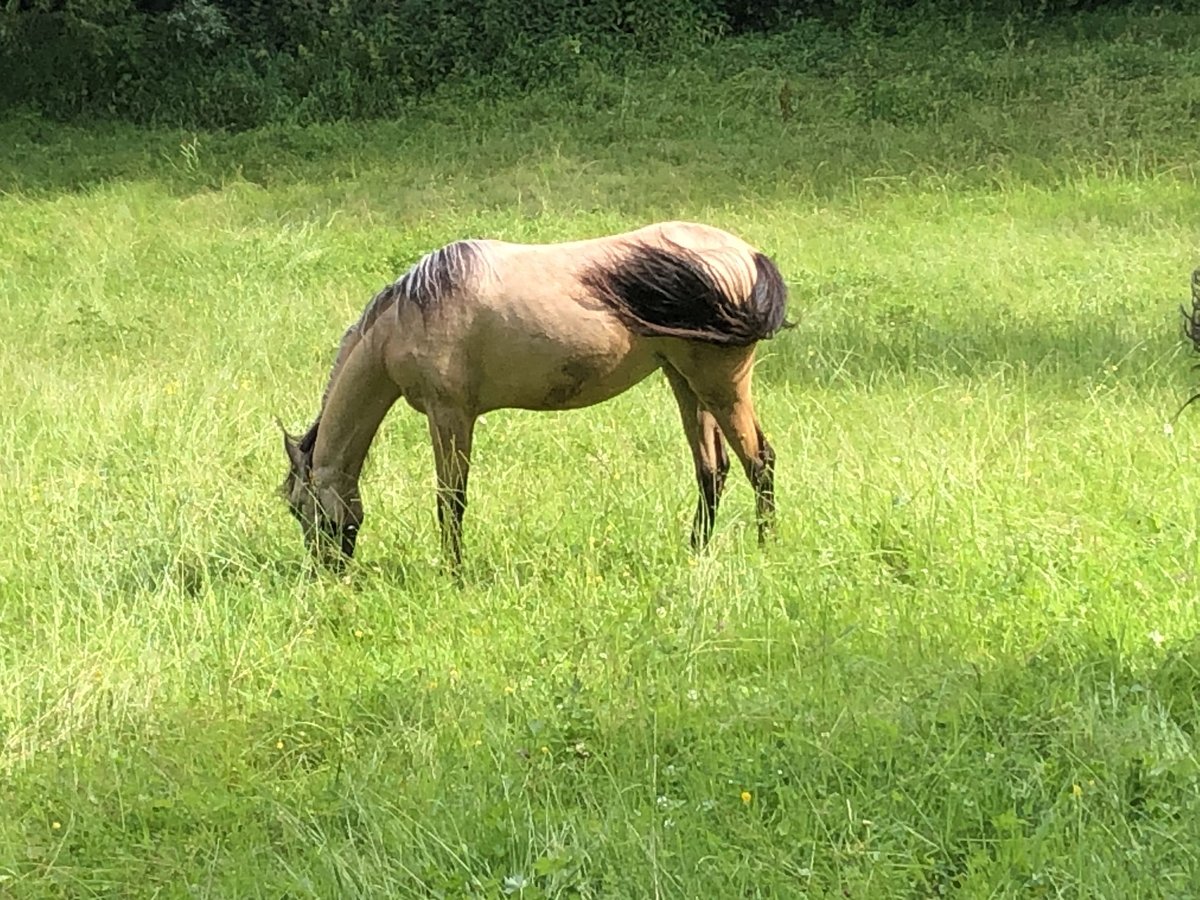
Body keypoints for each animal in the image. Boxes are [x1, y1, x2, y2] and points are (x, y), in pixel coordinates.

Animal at [276, 220, 792, 571]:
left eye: (299, 507)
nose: (326, 571)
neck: (412, 312)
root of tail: (749, 256)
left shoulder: (450, 415)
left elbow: (450, 499)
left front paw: (453, 572)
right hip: (685, 381)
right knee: (712, 470)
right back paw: (695, 552)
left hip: (719, 384)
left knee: (758, 461)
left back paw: (766, 548)